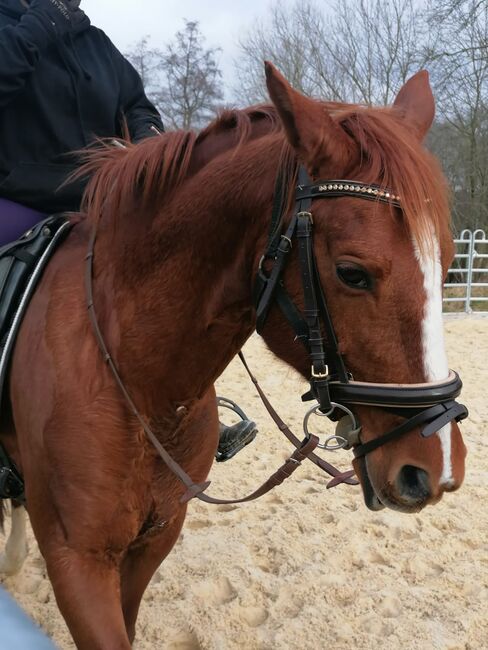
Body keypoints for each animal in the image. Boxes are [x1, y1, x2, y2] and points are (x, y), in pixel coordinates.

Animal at [0, 63, 466, 644]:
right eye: (352, 273)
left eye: (445, 263)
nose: (436, 469)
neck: (140, 386)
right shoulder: (77, 563)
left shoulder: (151, 543)